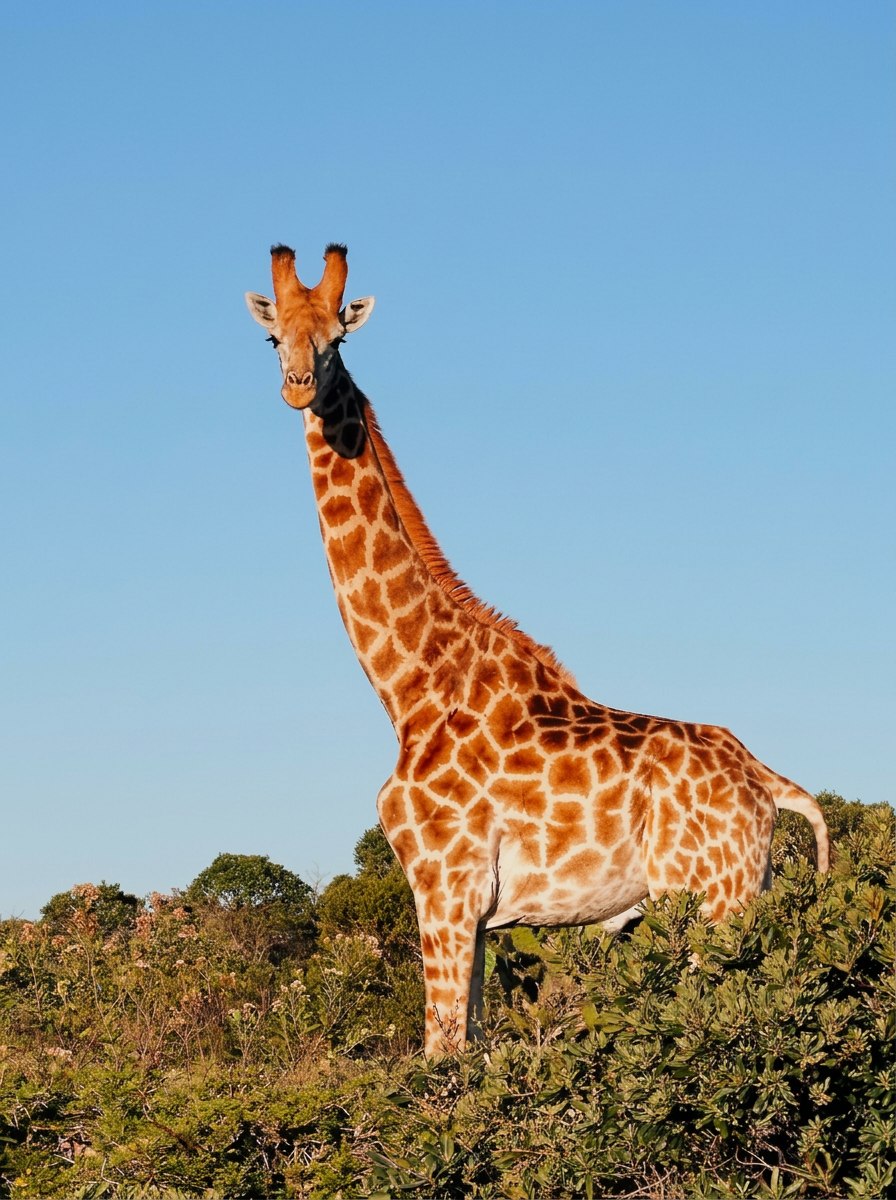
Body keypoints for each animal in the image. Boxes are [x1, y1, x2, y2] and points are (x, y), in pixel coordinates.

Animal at [245, 243, 830, 1057]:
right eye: (275, 338)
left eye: (336, 339)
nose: (298, 387)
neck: (407, 685)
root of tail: (767, 783)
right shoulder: (473, 911)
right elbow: (470, 1049)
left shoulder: (445, 887)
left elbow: (441, 1055)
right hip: (751, 889)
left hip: (714, 896)